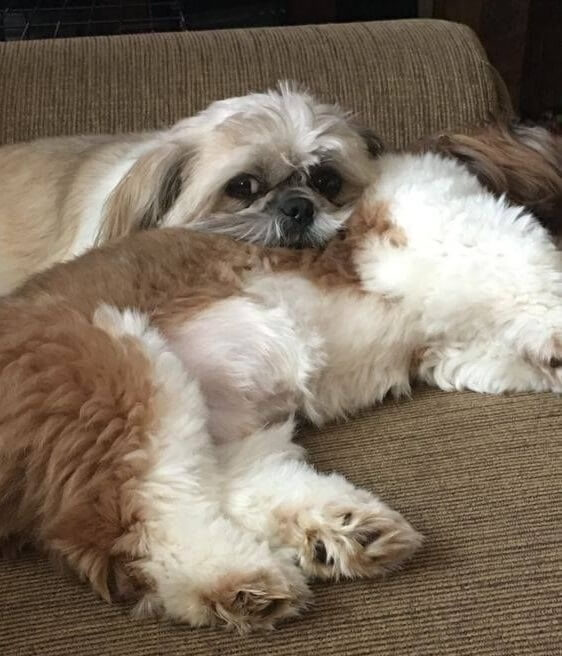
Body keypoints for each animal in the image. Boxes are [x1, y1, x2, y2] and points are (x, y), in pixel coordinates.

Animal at [1, 149, 560, 632]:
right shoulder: (439, 234)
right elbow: (528, 278)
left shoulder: (457, 348)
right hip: (122, 374)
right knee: (149, 521)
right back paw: (234, 576)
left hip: (212, 422)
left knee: (227, 478)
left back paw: (338, 527)